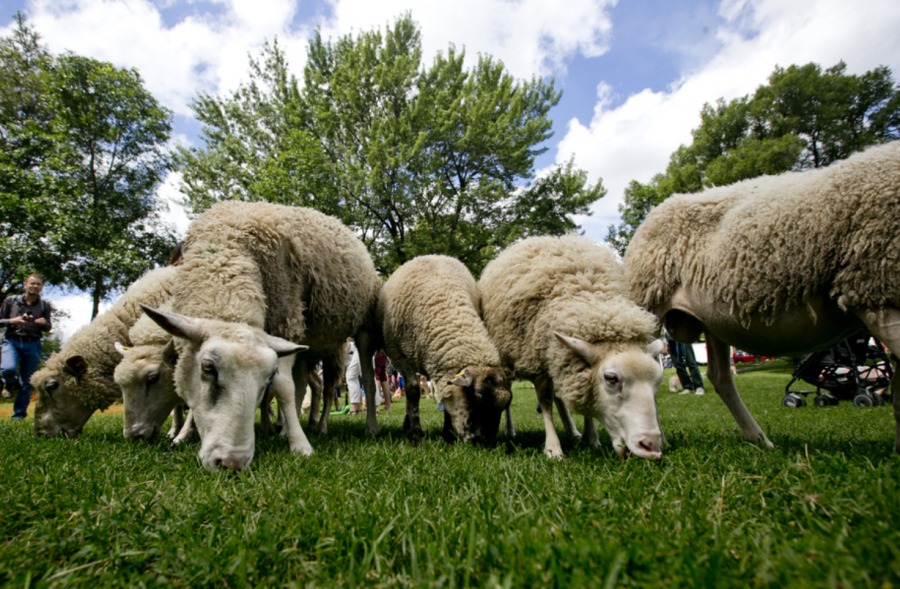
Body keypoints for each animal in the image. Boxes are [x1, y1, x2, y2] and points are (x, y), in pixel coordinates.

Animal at [141, 201, 382, 472]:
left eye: (267, 376)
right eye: (208, 368)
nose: (232, 462)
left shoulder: (287, 321)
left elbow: (283, 388)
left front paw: (300, 445)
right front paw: (183, 435)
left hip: (348, 340)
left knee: (343, 385)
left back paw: (337, 426)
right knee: (307, 385)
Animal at [377, 255, 512, 445]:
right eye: (478, 396)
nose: (483, 442)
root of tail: (431, 255)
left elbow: (447, 397)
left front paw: (447, 435)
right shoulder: (398, 356)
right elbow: (413, 391)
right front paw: (416, 436)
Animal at [479, 235, 664, 459]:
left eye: (657, 380)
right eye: (611, 378)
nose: (651, 446)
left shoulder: (571, 363)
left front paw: (591, 438)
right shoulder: (537, 362)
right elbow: (545, 402)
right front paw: (553, 449)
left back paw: (572, 430)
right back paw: (510, 429)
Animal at [624, 141, 900, 452]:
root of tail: (658, 208)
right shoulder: (876, 291)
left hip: (712, 318)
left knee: (719, 377)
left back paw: (759, 438)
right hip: (650, 304)